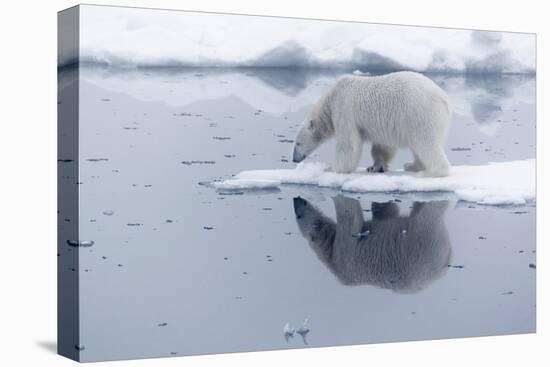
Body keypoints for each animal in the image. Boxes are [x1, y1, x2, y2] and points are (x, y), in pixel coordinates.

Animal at [294, 71, 452, 177]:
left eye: (297, 143)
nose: (294, 159)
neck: (330, 99)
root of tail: (444, 98)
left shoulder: (344, 109)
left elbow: (348, 144)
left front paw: (332, 168)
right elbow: (382, 146)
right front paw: (375, 167)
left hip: (420, 113)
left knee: (426, 142)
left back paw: (430, 172)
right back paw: (412, 165)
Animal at [294, 197, 452, 292]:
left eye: (298, 216)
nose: (296, 200)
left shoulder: (344, 255)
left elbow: (349, 215)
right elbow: (386, 211)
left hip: (422, 242)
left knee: (429, 212)